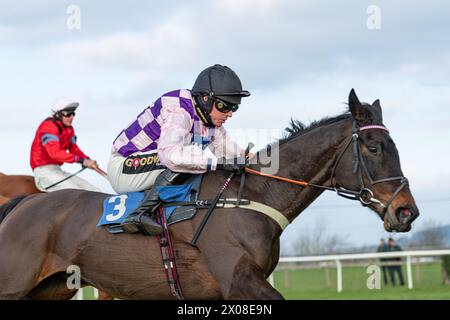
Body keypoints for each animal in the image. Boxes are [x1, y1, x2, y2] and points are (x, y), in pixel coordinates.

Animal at [0, 90, 420, 300]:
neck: (250, 199)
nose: (407, 212)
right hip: (15, 285)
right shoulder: (238, 281)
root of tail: (23, 204)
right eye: (373, 147)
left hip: (51, 289)